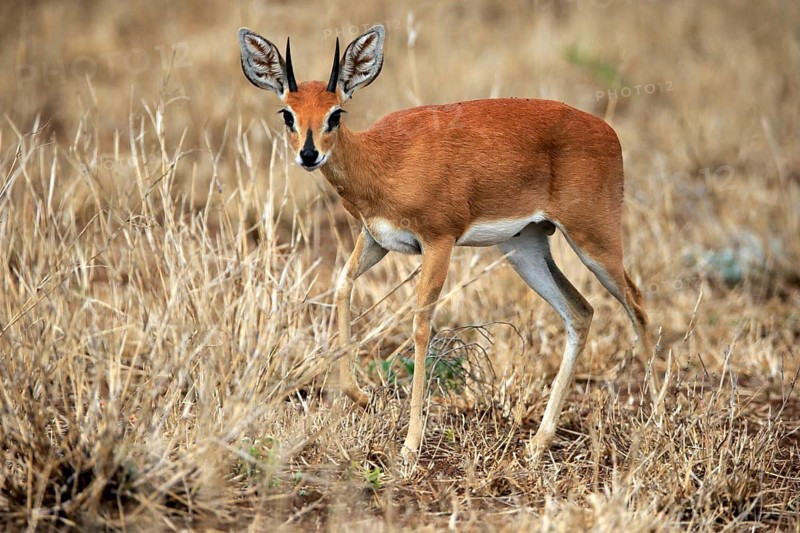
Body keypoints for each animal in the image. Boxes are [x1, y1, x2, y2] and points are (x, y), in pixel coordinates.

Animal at [238, 25, 653, 460]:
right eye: (288, 113)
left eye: (335, 114)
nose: (309, 154)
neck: (383, 161)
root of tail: (607, 131)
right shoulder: (375, 240)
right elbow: (342, 286)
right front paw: (362, 396)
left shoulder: (439, 242)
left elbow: (421, 326)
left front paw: (410, 444)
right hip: (525, 249)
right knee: (581, 311)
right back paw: (540, 441)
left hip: (594, 240)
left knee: (636, 302)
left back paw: (656, 416)